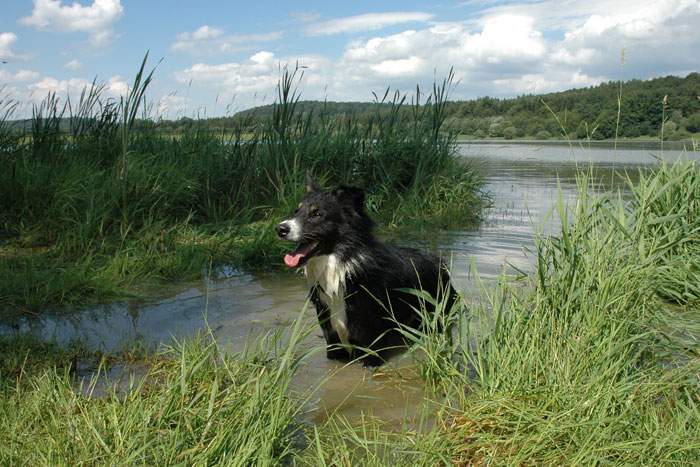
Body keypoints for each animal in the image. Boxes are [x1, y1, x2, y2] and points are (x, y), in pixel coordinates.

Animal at [276, 177, 456, 368]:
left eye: (317, 214)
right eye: (296, 211)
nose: (280, 229)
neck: (342, 269)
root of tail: (439, 262)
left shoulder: (373, 349)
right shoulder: (332, 341)